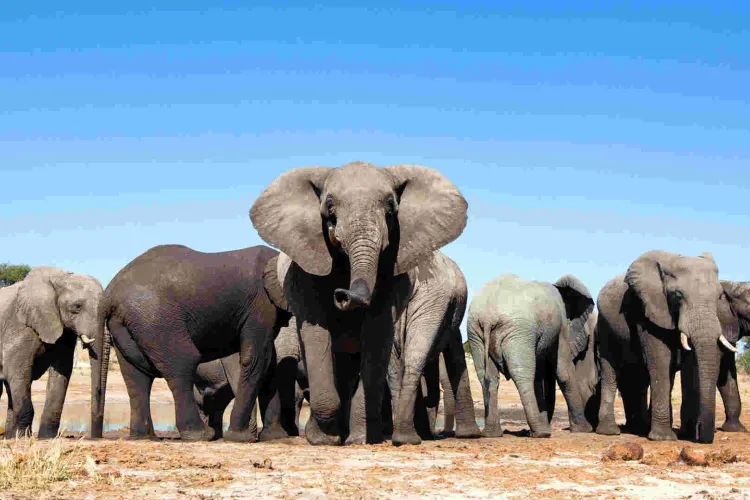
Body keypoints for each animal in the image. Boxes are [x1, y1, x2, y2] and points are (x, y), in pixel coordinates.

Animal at [0, 266, 106, 439]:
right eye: (77, 306)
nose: (96, 436)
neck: (60, 278)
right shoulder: (20, 325)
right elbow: (17, 370)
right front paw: (22, 437)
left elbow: (62, 370)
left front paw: (46, 437)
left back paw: (9, 436)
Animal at [99, 244, 290, 442]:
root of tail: (109, 294)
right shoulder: (261, 305)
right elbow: (256, 359)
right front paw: (241, 437)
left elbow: (269, 362)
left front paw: (275, 437)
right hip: (155, 318)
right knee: (182, 363)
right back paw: (201, 434)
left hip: (127, 323)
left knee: (135, 374)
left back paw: (145, 437)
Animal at [250, 161, 468, 445]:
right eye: (329, 206)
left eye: (390, 207)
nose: (342, 294)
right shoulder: (304, 268)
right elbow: (317, 332)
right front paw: (324, 440)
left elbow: (376, 333)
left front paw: (359, 439)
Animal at [467, 274, 596, 438]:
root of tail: (488, 316)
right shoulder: (560, 328)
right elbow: (564, 373)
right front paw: (585, 430)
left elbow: (540, 376)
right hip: (517, 332)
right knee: (523, 374)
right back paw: (541, 433)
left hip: (476, 333)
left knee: (487, 377)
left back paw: (492, 434)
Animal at [595, 250, 733, 444]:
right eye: (678, 296)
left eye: (719, 297)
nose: (701, 432)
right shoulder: (648, 309)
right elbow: (661, 361)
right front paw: (664, 438)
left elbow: (688, 365)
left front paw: (686, 435)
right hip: (605, 325)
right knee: (610, 369)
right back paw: (610, 431)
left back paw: (640, 427)